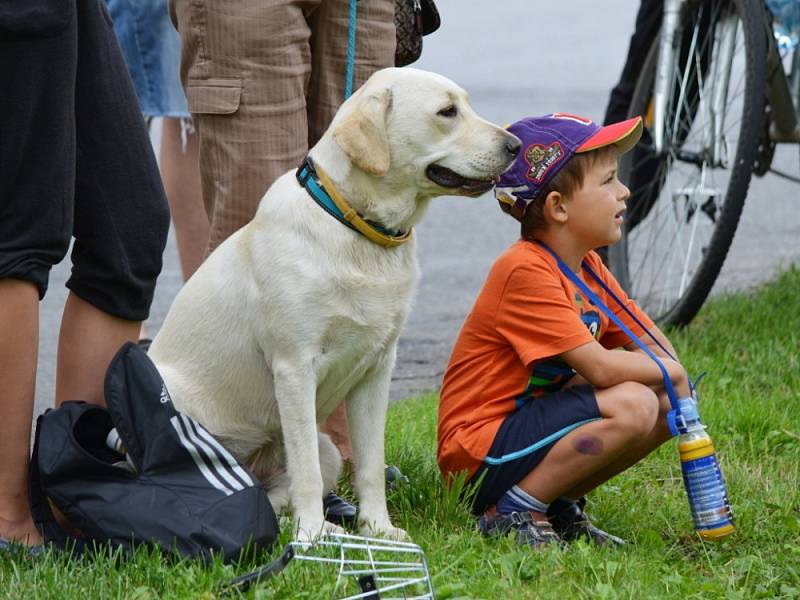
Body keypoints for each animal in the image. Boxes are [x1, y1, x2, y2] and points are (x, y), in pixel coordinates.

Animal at [150, 68, 520, 540]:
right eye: (447, 112)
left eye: (466, 105)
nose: (515, 145)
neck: (357, 226)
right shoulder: (294, 367)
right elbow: (305, 469)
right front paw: (311, 537)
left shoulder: (378, 368)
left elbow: (369, 464)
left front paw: (377, 528)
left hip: (326, 449)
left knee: (275, 498)